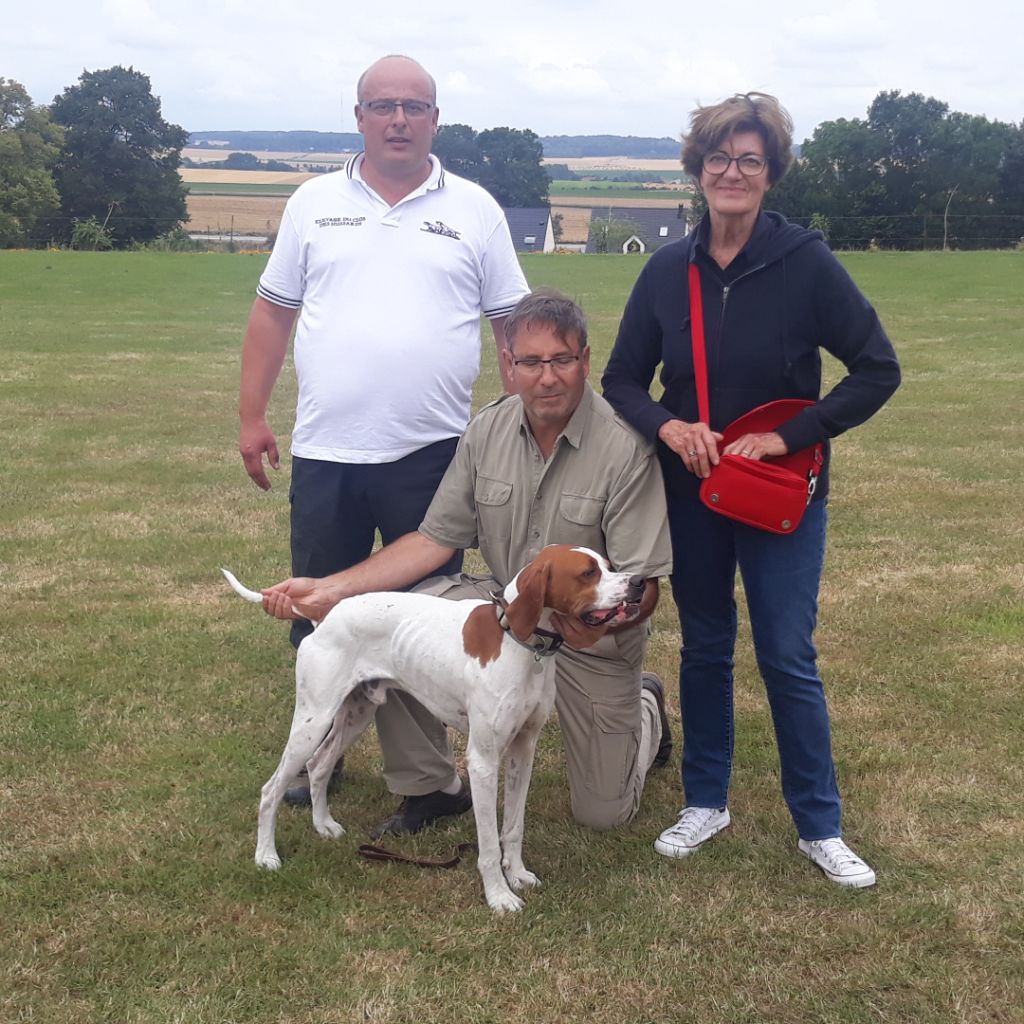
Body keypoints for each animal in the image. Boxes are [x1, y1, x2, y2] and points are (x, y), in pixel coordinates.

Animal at [224, 544, 643, 913]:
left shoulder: (523, 751)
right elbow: (489, 843)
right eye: (587, 573)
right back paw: (266, 856)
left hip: (354, 714)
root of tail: (326, 611)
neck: (518, 642)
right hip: (314, 720)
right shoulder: (483, 761)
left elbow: (514, 827)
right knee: (271, 789)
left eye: (608, 565)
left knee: (319, 765)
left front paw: (518, 874)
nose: (639, 582)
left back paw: (323, 825)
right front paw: (498, 896)